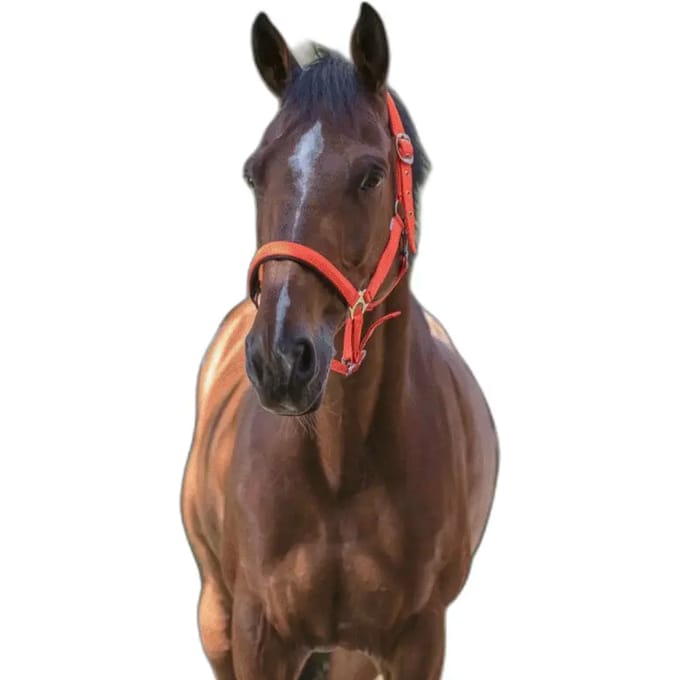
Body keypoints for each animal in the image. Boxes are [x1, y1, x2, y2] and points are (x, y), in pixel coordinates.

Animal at [181, 4, 498, 678]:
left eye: (371, 175)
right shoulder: (256, 633)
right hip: (215, 616)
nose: (280, 359)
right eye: (254, 173)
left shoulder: (416, 640)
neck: (340, 470)